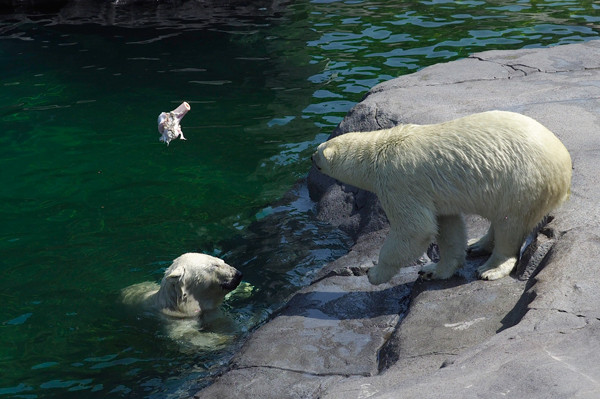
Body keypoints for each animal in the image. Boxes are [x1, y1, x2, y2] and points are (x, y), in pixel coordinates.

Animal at [314, 110, 572, 284]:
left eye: (318, 150)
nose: (310, 156)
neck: (379, 151)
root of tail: (565, 167)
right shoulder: (431, 195)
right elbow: (447, 226)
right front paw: (434, 269)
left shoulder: (399, 183)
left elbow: (415, 229)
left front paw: (374, 274)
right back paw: (476, 244)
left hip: (524, 182)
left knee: (510, 222)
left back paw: (490, 268)